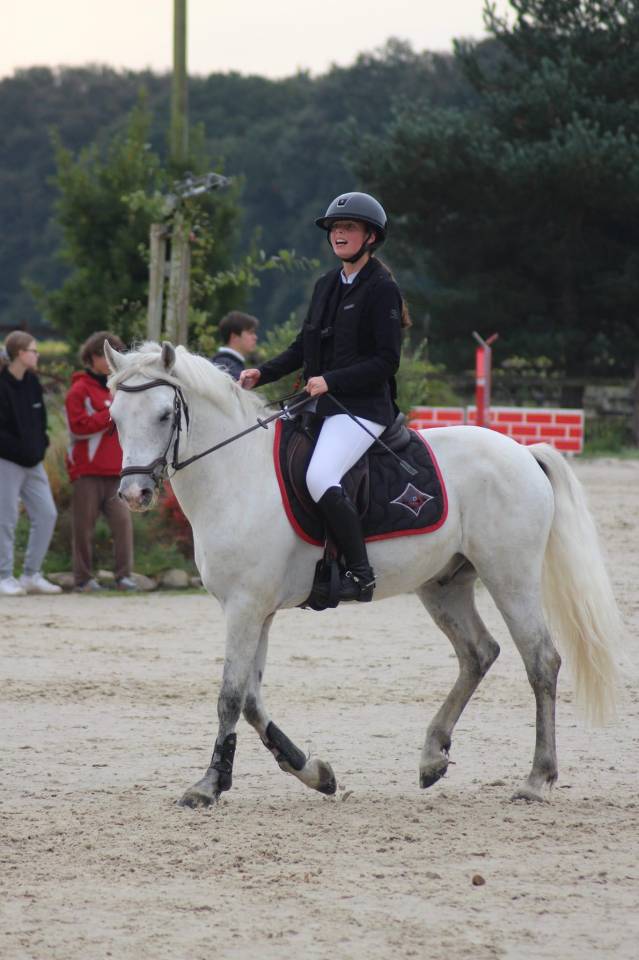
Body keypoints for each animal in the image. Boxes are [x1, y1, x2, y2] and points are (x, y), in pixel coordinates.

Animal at [106, 340, 621, 808]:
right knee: (479, 653)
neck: (236, 475)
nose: (134, 494)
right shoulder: (258, 610)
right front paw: (315, 773)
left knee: (541, 661)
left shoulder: (245, 607)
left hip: (509, 577)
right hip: (444, 584)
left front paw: (209, 785)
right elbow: (252, 699)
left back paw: (536, 779)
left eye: (164, 416)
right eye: (114, 418)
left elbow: (231, 696)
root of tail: (522, 451)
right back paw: (432, 757)